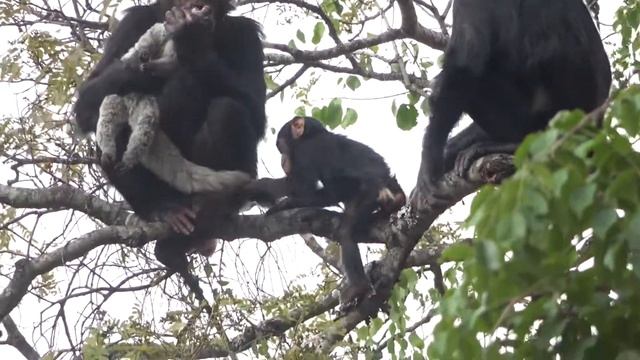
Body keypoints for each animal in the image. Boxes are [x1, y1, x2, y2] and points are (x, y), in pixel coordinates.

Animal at [72, 0, 264, 310]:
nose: (193, 11)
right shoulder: (133, 22)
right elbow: (87, 101)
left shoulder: (247, 36)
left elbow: (255, 108)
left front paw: (192, 41)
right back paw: (164, 209)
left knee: (227, 109)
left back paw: (216, 206)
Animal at [250, 116, 404, 308]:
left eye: (281, 147)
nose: (282, 160)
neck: (310, 135)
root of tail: (395, 191)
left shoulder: (307, 152)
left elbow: (302, 188)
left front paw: (272, 197)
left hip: (371, 194)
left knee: (346, 231)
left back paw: (358, 287)